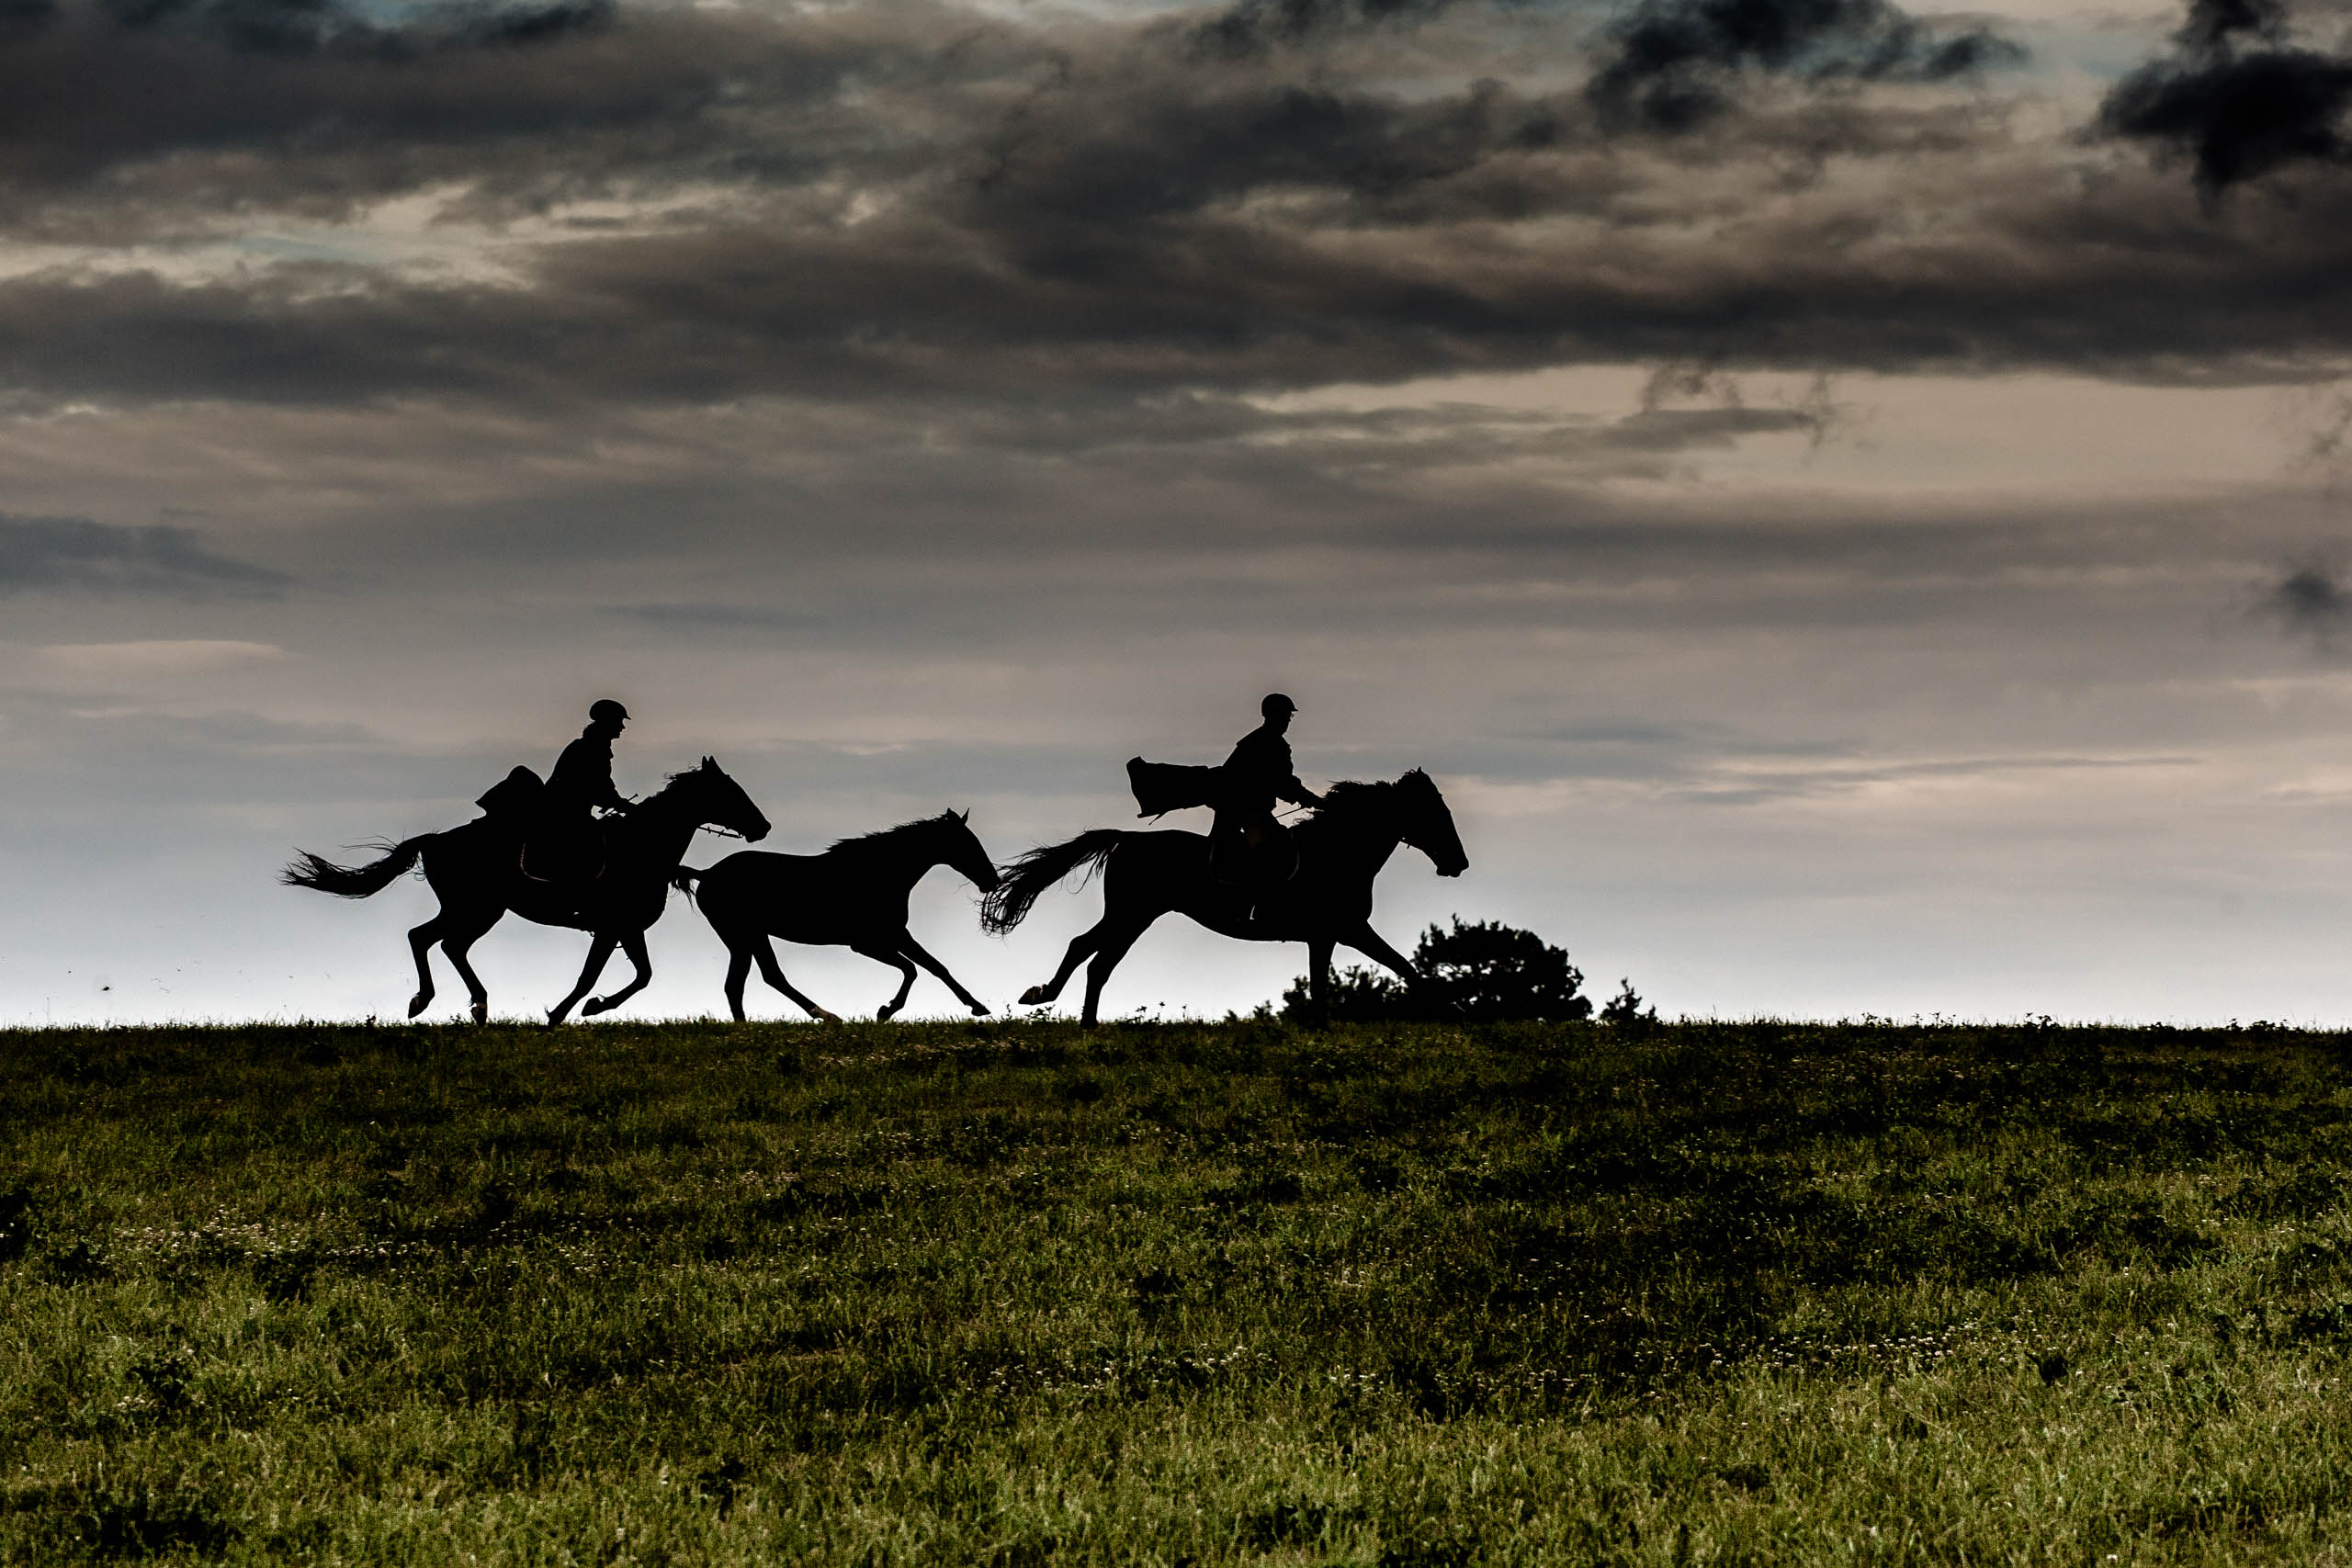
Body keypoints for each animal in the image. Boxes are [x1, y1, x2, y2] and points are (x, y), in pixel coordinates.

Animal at [279, 761, 766, 1029]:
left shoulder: (627, 929)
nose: (763, 827)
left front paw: (593, 1008)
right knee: (430, 939)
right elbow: (590, 977)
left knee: (440, 942)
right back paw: (432, 1002)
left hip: (479, 909)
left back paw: (472, 1006)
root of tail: (435, 839)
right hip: (476, 907)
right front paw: (565, 1013)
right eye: (732, 792)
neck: (645, 846)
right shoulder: (610, 928)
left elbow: (643, 976)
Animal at [686, 818, 1006, 1024]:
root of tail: (707, 874)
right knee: (764, 978)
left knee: (744, 982)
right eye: (968, 843)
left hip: (747, 937)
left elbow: (935, 966)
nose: (993, 880)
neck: (879, 874)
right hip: (744, 935)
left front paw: (977, 1006)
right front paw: (886, 1011)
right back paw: (827, 1016)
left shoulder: (896, 934)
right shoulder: (867, 943)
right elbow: (912, 969)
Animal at [978, 771, 1458, 1029]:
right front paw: (1450, 1012)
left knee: (1092, 957)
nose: (1459, 863)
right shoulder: (1348, 930)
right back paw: (1059, 1005)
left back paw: (1073, 1014)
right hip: (1133, 913)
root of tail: (1126, 838)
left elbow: (1330, 981)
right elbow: (1404, 967)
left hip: (1132, 914)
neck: (1339, 852)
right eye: (1435, 814)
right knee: (1091, 954)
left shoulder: (1328, 936)